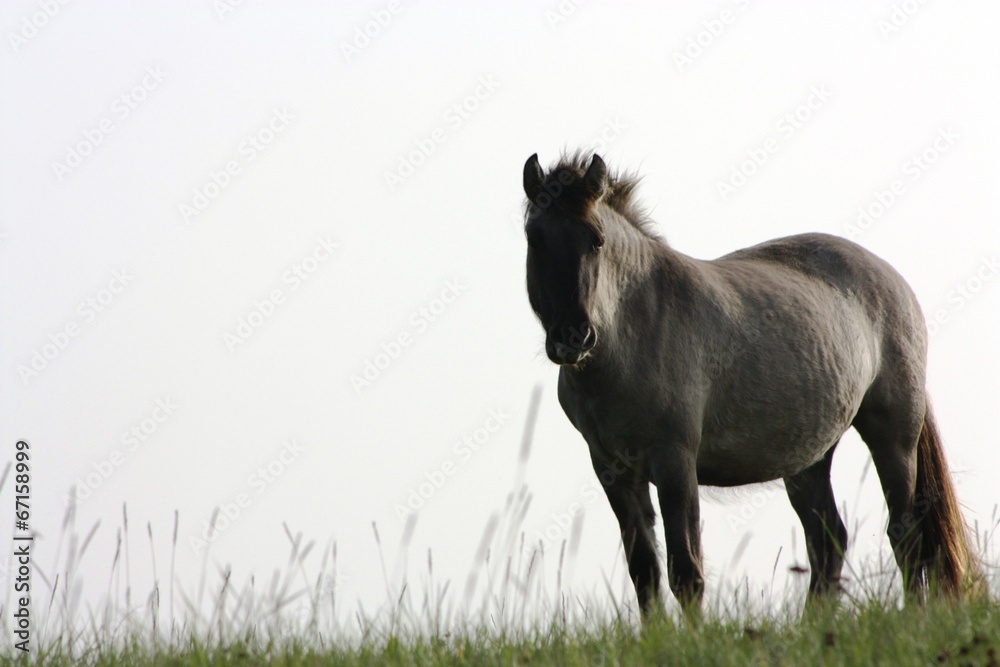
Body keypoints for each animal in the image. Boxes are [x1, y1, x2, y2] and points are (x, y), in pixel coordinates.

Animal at [521, 151, 980, 615]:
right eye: (534, 238)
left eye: (596, 239)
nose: (572, 337)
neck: (634, 329)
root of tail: (894, 281)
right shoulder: (612, 471)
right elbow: (644, 572)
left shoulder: (675, 461)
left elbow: (686, 571)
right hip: (810, 460)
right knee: (828, 540)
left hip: (893, 439)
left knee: (906, 538)